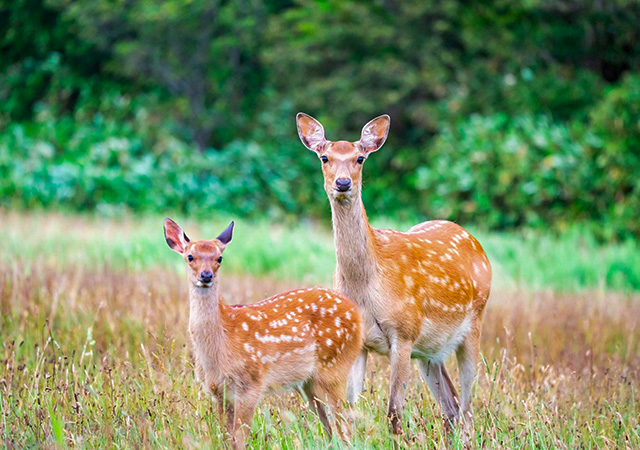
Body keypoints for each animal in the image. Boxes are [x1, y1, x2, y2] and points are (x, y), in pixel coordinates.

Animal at [163, 218, 363, 449]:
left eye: (219, 257)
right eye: (190, 257)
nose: (206, 276)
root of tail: (358, 315)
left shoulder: (252, 383)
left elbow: (239, 439)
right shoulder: (218, 392)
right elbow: (226, 438)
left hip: (334, 368)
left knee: (345, 424)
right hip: (310, 382)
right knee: (332, 428)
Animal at [296, 113, 492, 440]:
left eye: (360, 158)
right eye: (324, 157)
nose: (343, 183)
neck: (367, 285)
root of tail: (475, 241)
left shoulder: (404, 331)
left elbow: (394, 414)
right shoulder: (360, 341)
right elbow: (351, 408)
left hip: (473, 323)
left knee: (466, 408)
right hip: (430, 351)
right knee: (450, 405)